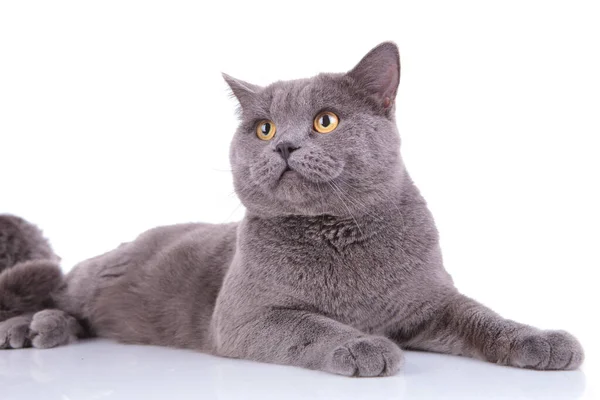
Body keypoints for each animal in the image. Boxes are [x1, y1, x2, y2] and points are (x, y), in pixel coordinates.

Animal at [0, 42, 580, 376]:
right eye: (264, 128)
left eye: (326, 120)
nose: (283, 145)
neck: (339, 236)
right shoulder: (245, 317)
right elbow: (310, 325)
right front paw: (362, 346)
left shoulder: (430, 304)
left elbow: (484, 316)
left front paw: (543, 341)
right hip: (88, 277)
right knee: (54, 291)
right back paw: (27, 329)